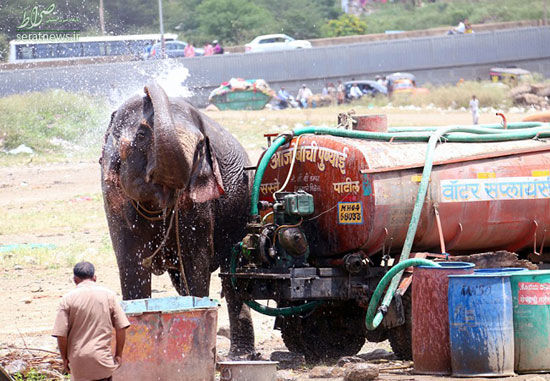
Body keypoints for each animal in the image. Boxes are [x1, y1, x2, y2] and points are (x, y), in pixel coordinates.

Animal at [100, 81, 256, 354]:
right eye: (142, 135)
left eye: (200, 147)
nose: (148, 87)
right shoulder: (112, 195)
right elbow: (131, 262)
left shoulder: (197, 202)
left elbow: (196, 260)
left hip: (241, 205)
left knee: (232, 274)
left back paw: (242, 356)